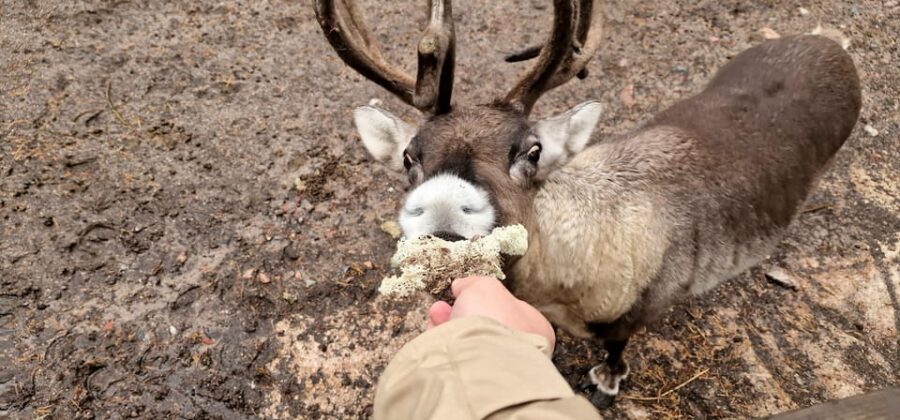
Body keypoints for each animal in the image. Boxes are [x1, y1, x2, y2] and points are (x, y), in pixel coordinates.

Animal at [314, 0, 861, 407]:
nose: (442, 210)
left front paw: (606, 381)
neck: (559, 286)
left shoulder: (644, 306)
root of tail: (829, 43)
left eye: (532, 150)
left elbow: (616, 346)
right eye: (410, 156)